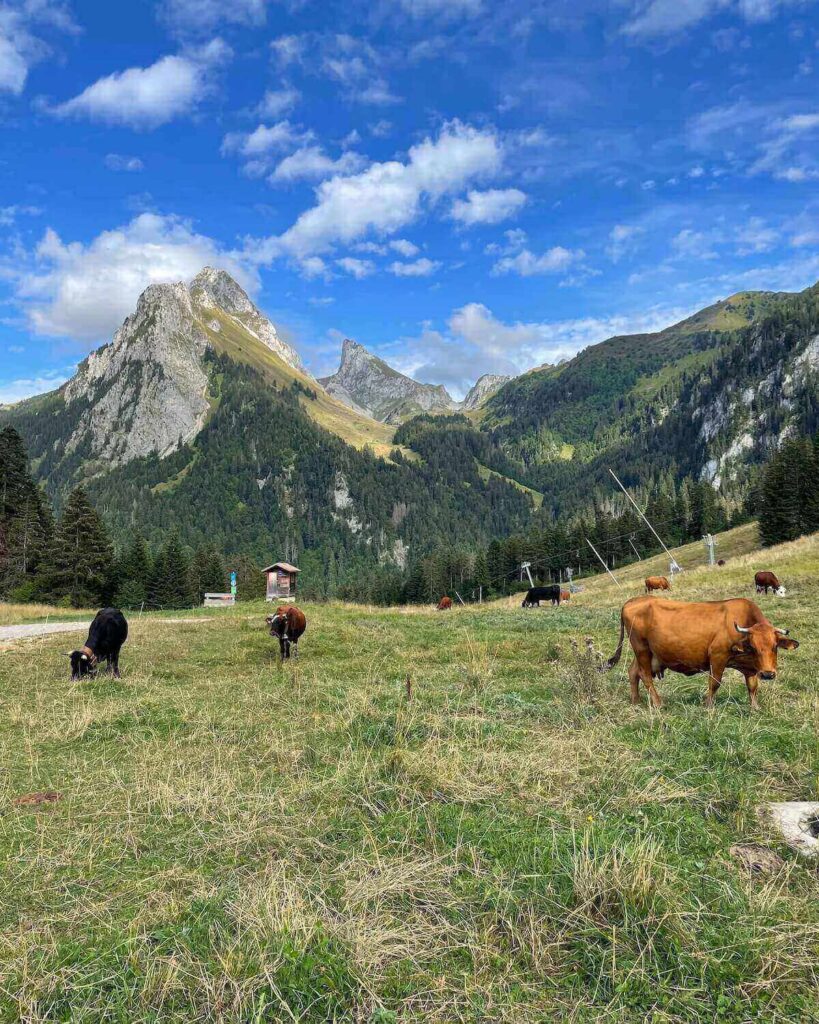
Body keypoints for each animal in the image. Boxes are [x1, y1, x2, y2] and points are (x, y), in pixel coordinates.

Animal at [603, 595, 798, 710]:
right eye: (754, 647)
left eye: (774, 646)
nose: (768, 674)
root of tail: (633, 600)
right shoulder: (718, 656)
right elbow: (715, 683)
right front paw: (708, 706)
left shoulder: (749, 667)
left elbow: (752, 686)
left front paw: (755, 708)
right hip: (641, 648)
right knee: (644, 675)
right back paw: (658, 704)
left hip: (648, 653)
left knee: (633, 672)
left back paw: (635, 701)